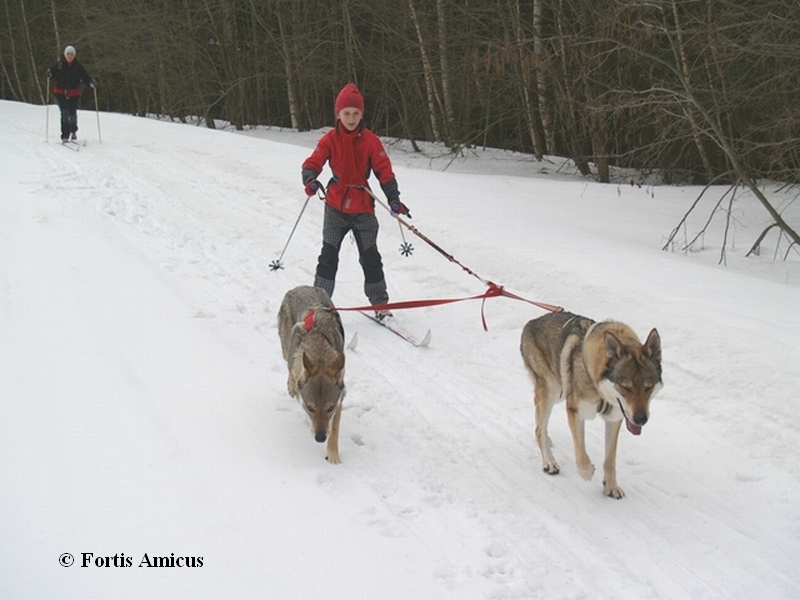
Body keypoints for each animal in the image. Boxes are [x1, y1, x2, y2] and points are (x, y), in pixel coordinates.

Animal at [280, 286, 346, 464]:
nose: (320, 438)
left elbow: (335, 430)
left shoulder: (340, 400)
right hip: (286, 349)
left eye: (330, 408)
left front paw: (333, 456)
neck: (319, 354)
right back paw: (292, 387)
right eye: (310, 408)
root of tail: (302, 287)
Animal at [520, 312, 660, 500]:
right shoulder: (575, 411)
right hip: (552, 391)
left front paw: (611, 486)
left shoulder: (614, 418)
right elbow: (581, 454)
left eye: (648, 387)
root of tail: (531, 322)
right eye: (625, 387)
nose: (641, 419)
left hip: (559, 393)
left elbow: (610, 460)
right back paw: (549, 462)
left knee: (539, 419)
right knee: (538, 428)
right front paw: (587, 472)